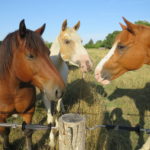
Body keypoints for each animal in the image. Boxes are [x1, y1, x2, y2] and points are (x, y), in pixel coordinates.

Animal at [0, 20, 64, 150]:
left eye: (48, 52)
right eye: (30, 55)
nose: (59, 90)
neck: (13, 90)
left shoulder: (29, 112)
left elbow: (28, 133)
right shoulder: (1, 117)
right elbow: (5, 133)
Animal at [42, 19, 92, 148]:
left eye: (81, 41)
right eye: (67, 41)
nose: (88, 65)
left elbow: (57, 111)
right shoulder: (46, 96)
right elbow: (50, 118)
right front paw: (51, 140)